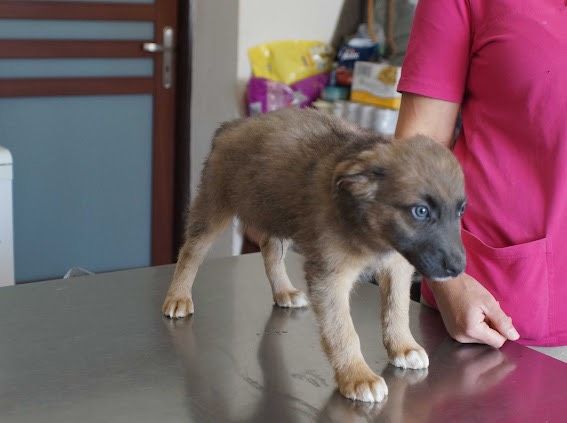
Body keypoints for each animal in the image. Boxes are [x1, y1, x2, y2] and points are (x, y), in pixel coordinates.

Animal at [163, 107, 466, 402]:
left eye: (461, 210)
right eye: (420, 211)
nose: (458, 268)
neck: (371, 231)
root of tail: (232, 126)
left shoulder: (398, 267)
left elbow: (397, 309)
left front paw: (403, 347)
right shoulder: (330, 277)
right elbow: (342, 330)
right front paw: (357, 376)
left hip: (277, 211)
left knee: (270, 249)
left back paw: (283, 291)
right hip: (216, 206)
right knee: (191, 251)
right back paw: (178, 296)